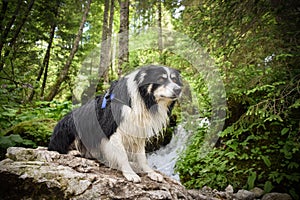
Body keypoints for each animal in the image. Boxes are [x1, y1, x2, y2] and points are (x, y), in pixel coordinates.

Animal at [48, 65, 183, 182]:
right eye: (161, 79)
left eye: (174, 79)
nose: (178, 89)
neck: (143, 99)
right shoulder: (112, 131)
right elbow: (122, 155)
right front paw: (130, 174)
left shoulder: (138, 131)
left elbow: (142, 157)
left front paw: (151, 172)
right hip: (68, 125)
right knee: (54, 148)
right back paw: (72, 151)